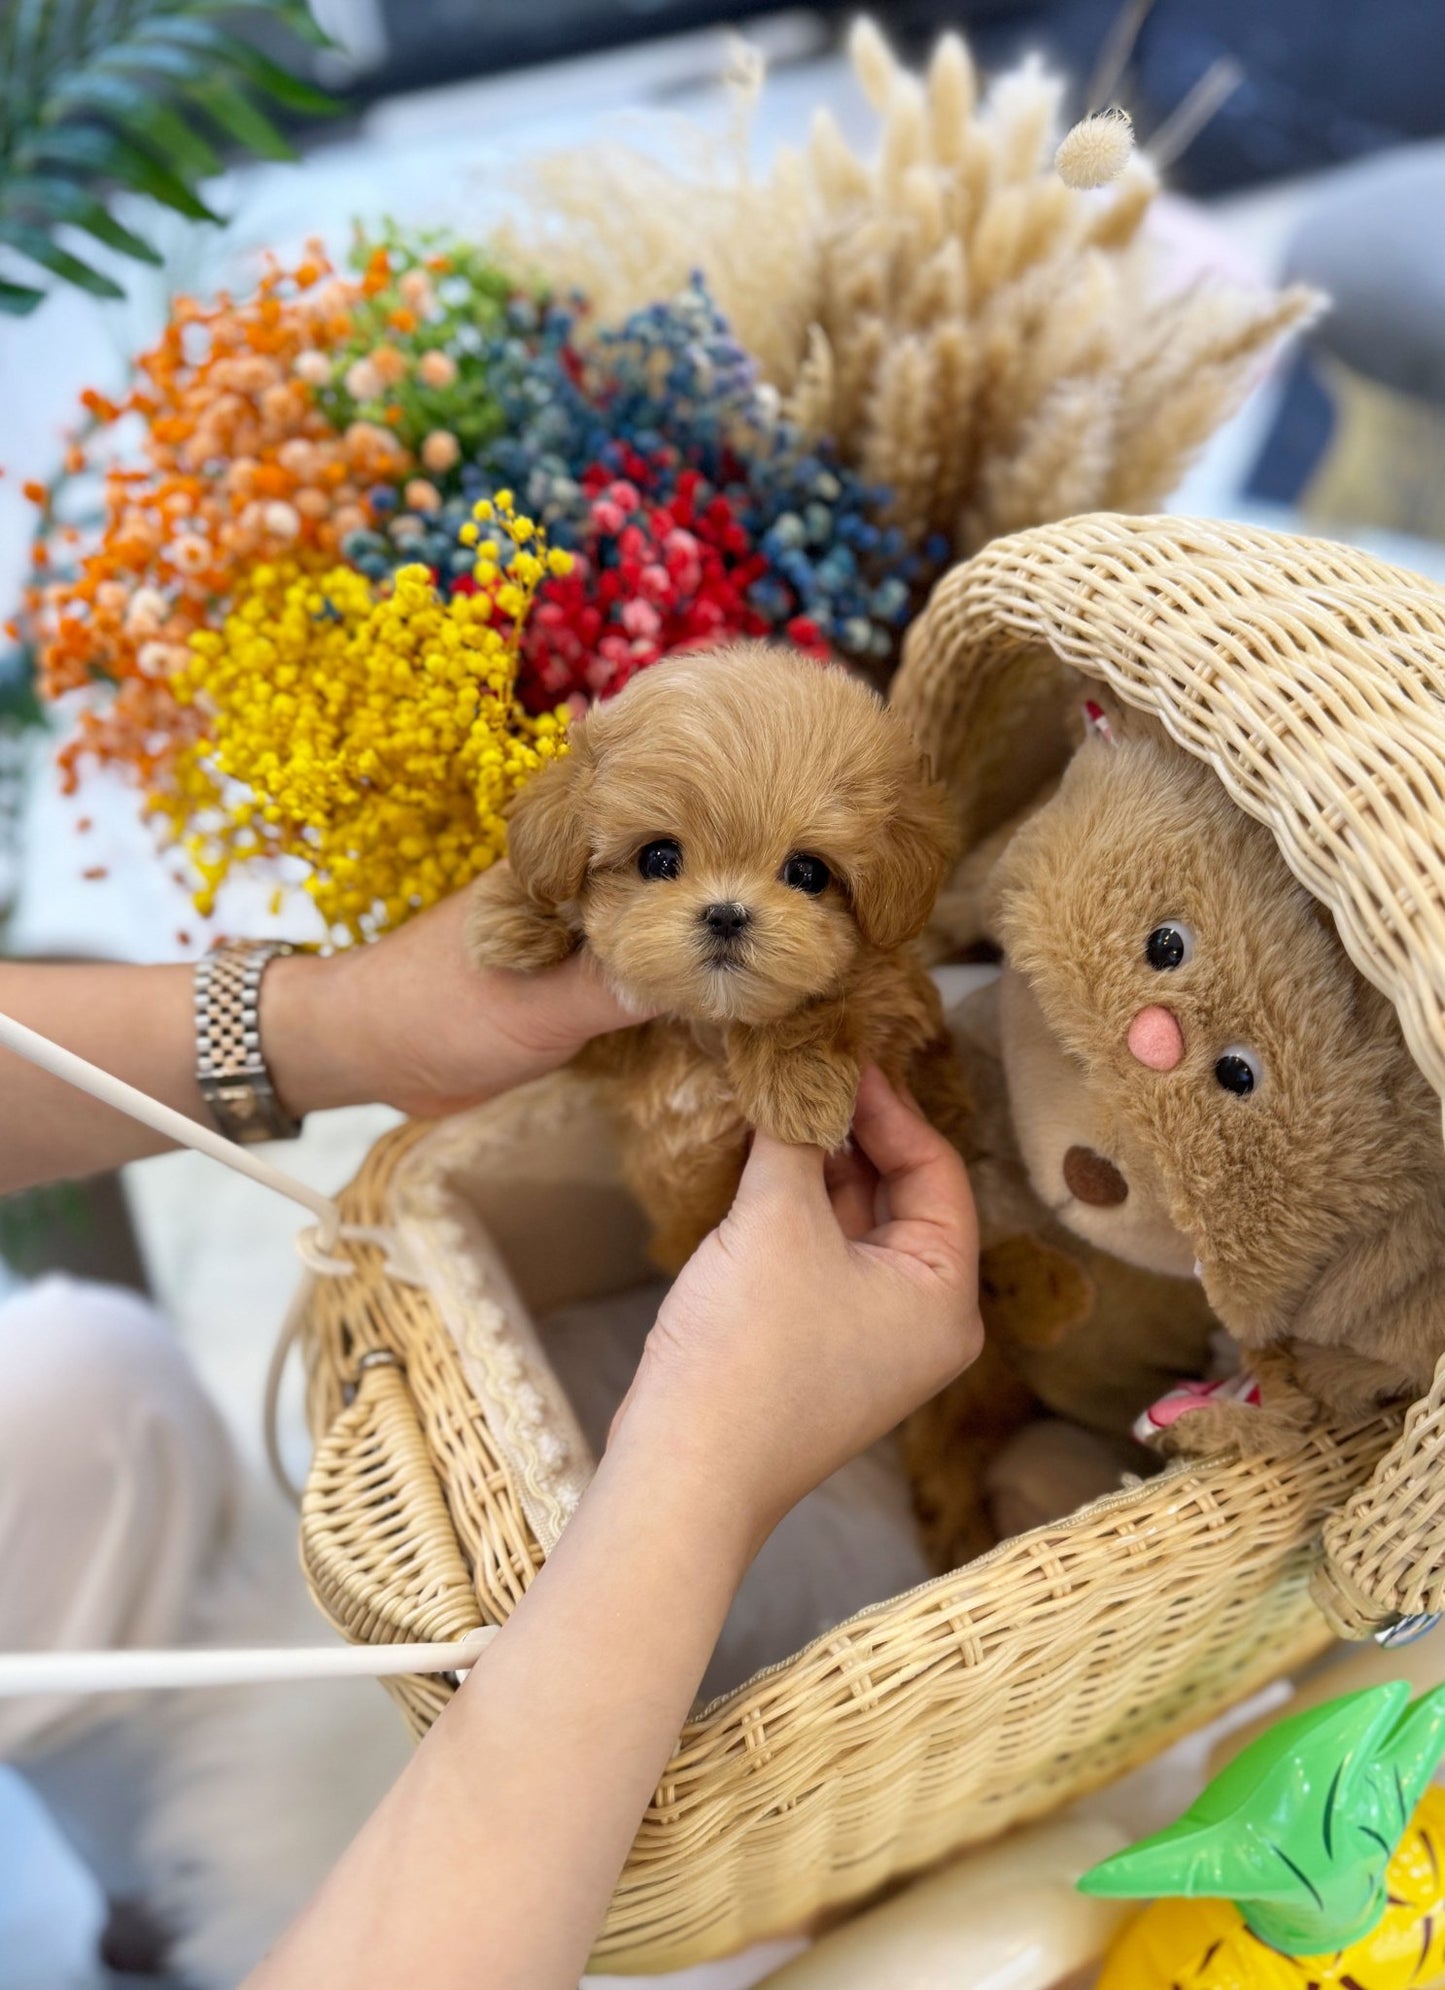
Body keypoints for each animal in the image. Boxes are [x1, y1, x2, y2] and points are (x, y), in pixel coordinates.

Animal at [475, 644, 967, 1265]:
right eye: (658, 859)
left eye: (808, 873)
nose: (726, 913)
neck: (710, 1022)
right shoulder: (611, 1051)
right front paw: (515, 912)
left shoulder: (899, 1010)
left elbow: (835, 1004)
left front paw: (798, 1085)